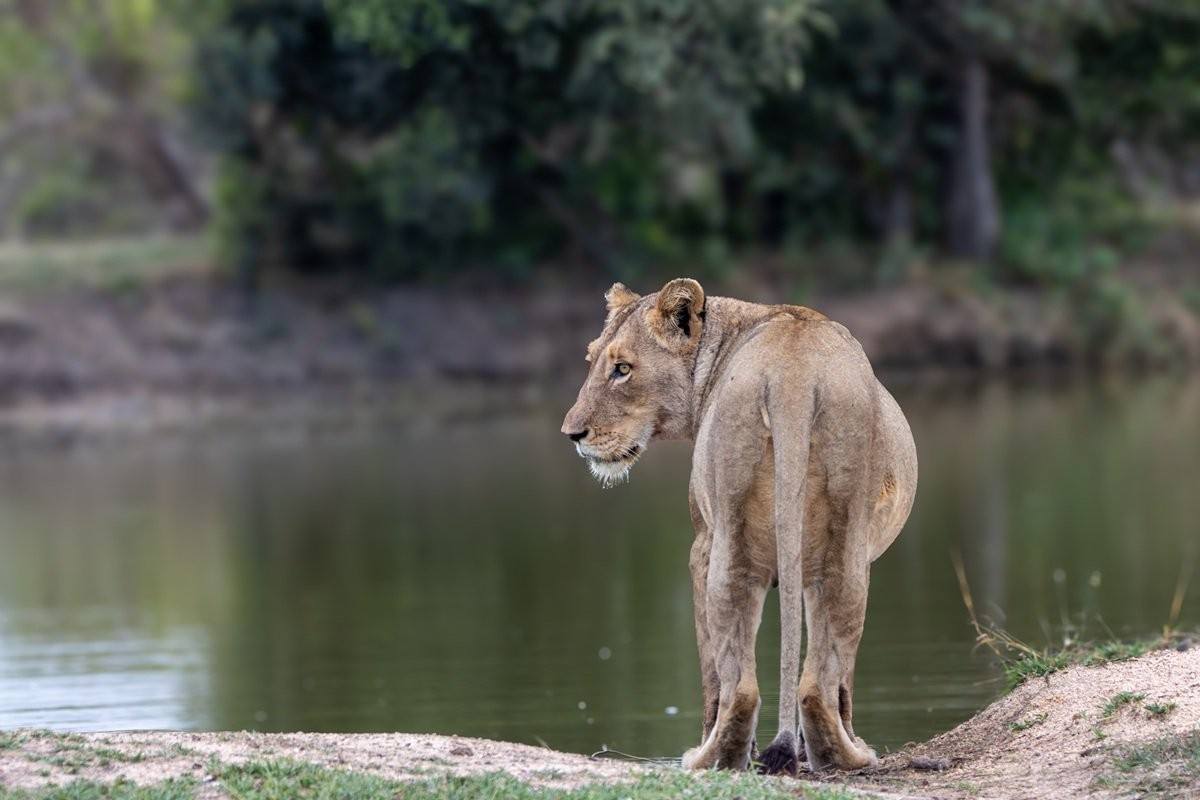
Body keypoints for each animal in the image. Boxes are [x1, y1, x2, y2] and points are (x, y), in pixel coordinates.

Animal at [561, 278, 917, 774]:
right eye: (593, 361)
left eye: (622, 369)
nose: (572, 434)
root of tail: (792, 378)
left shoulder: (701, 542)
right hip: (839, 547)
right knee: (813, 682)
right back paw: (842, 756)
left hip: (732, 540)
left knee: (747, 684)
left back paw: (713, 758)